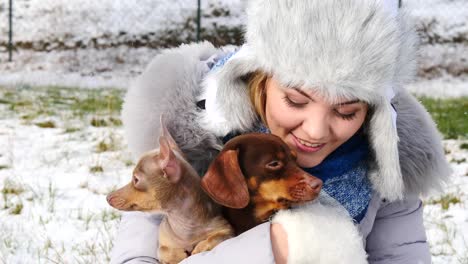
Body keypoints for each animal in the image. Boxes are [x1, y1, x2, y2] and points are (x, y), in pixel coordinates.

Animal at [107, 118, 233, 264]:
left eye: (136, 180)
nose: (108, 197)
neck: (182, 224)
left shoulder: (226, 229)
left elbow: (217, 237)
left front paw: (200, 247)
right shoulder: (163, 244)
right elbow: (163, 250)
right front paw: (176, 255)